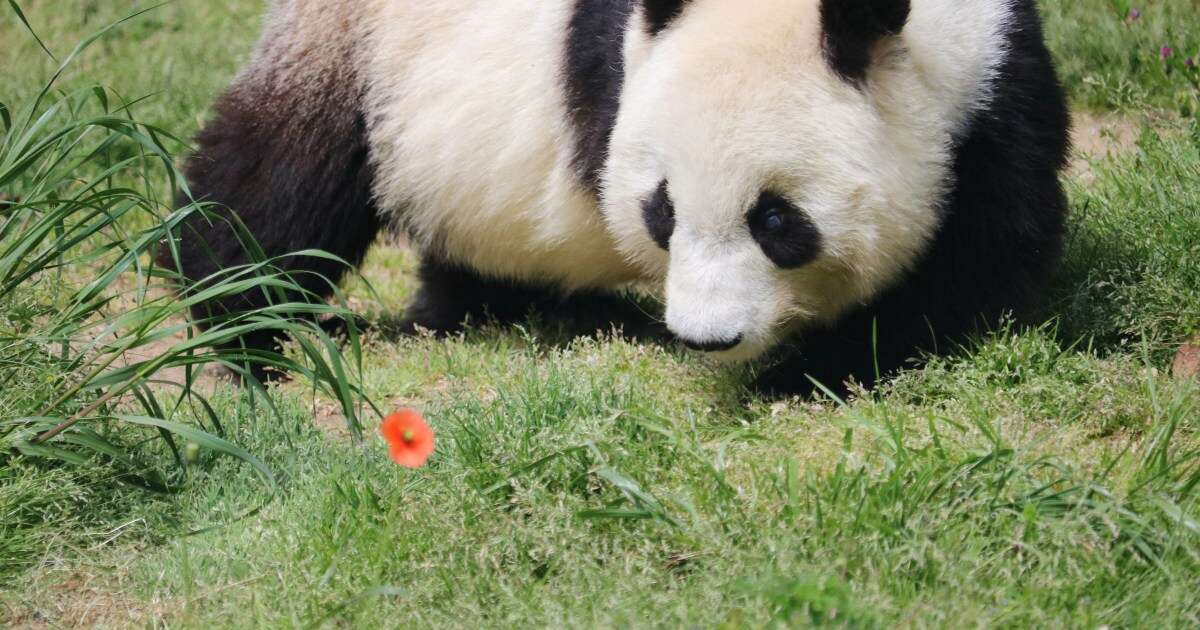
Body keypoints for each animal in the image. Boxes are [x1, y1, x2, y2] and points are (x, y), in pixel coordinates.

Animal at [166, 0, 1070, 393]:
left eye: (777, 220)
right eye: (661, 210)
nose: (709, 340)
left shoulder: (996, 80)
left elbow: (980, 255)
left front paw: (816, 362)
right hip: (362, 53)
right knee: (278, 183)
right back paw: (242, 322)